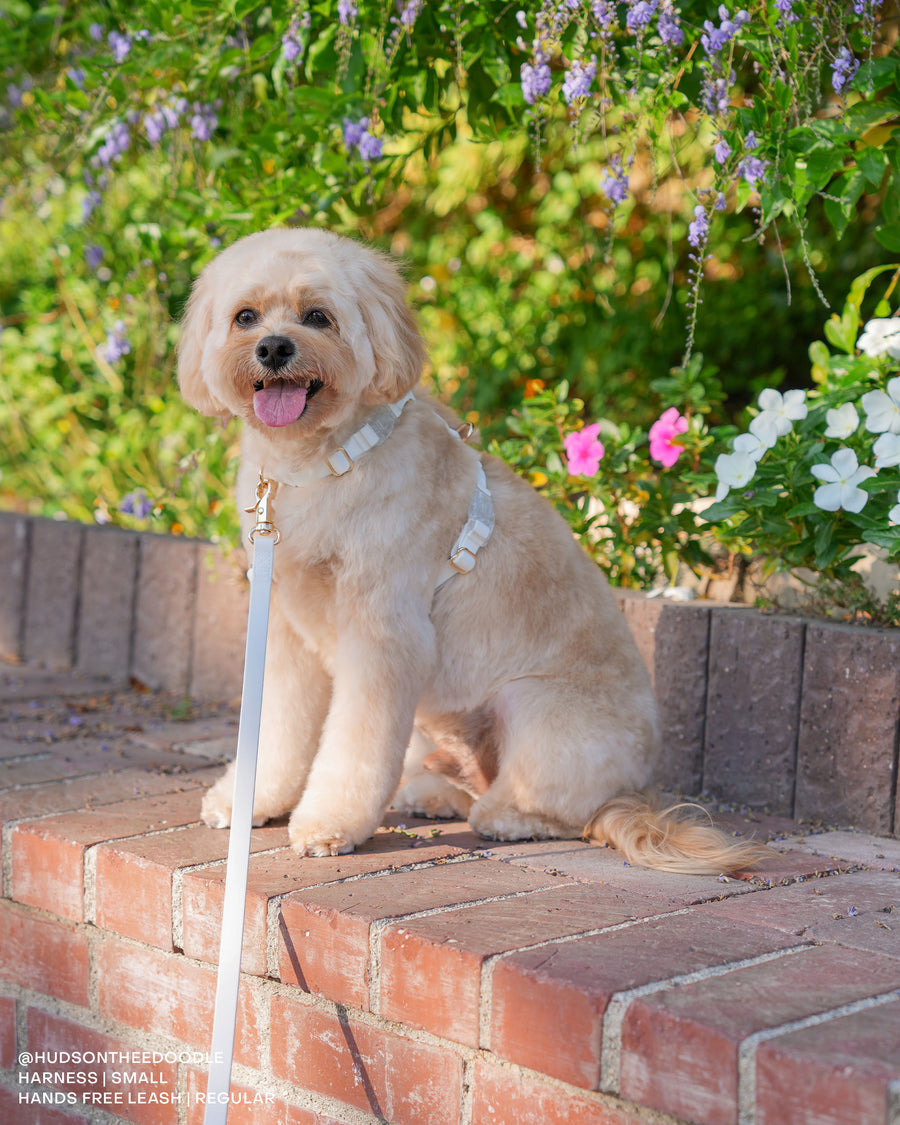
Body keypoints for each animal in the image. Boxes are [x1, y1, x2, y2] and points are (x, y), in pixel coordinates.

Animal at [177, 228, 765, 873]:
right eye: (245, 316)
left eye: (317, 317)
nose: (274, 347)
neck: (320, 465)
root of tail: (640, 791)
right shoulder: (284, 630)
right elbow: (276, 728)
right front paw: (248, 800)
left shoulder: (384, 635)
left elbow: (355, 745)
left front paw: (329, 823)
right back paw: (432, 793)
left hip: (534, 704)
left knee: (560, 809)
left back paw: (509, 817)